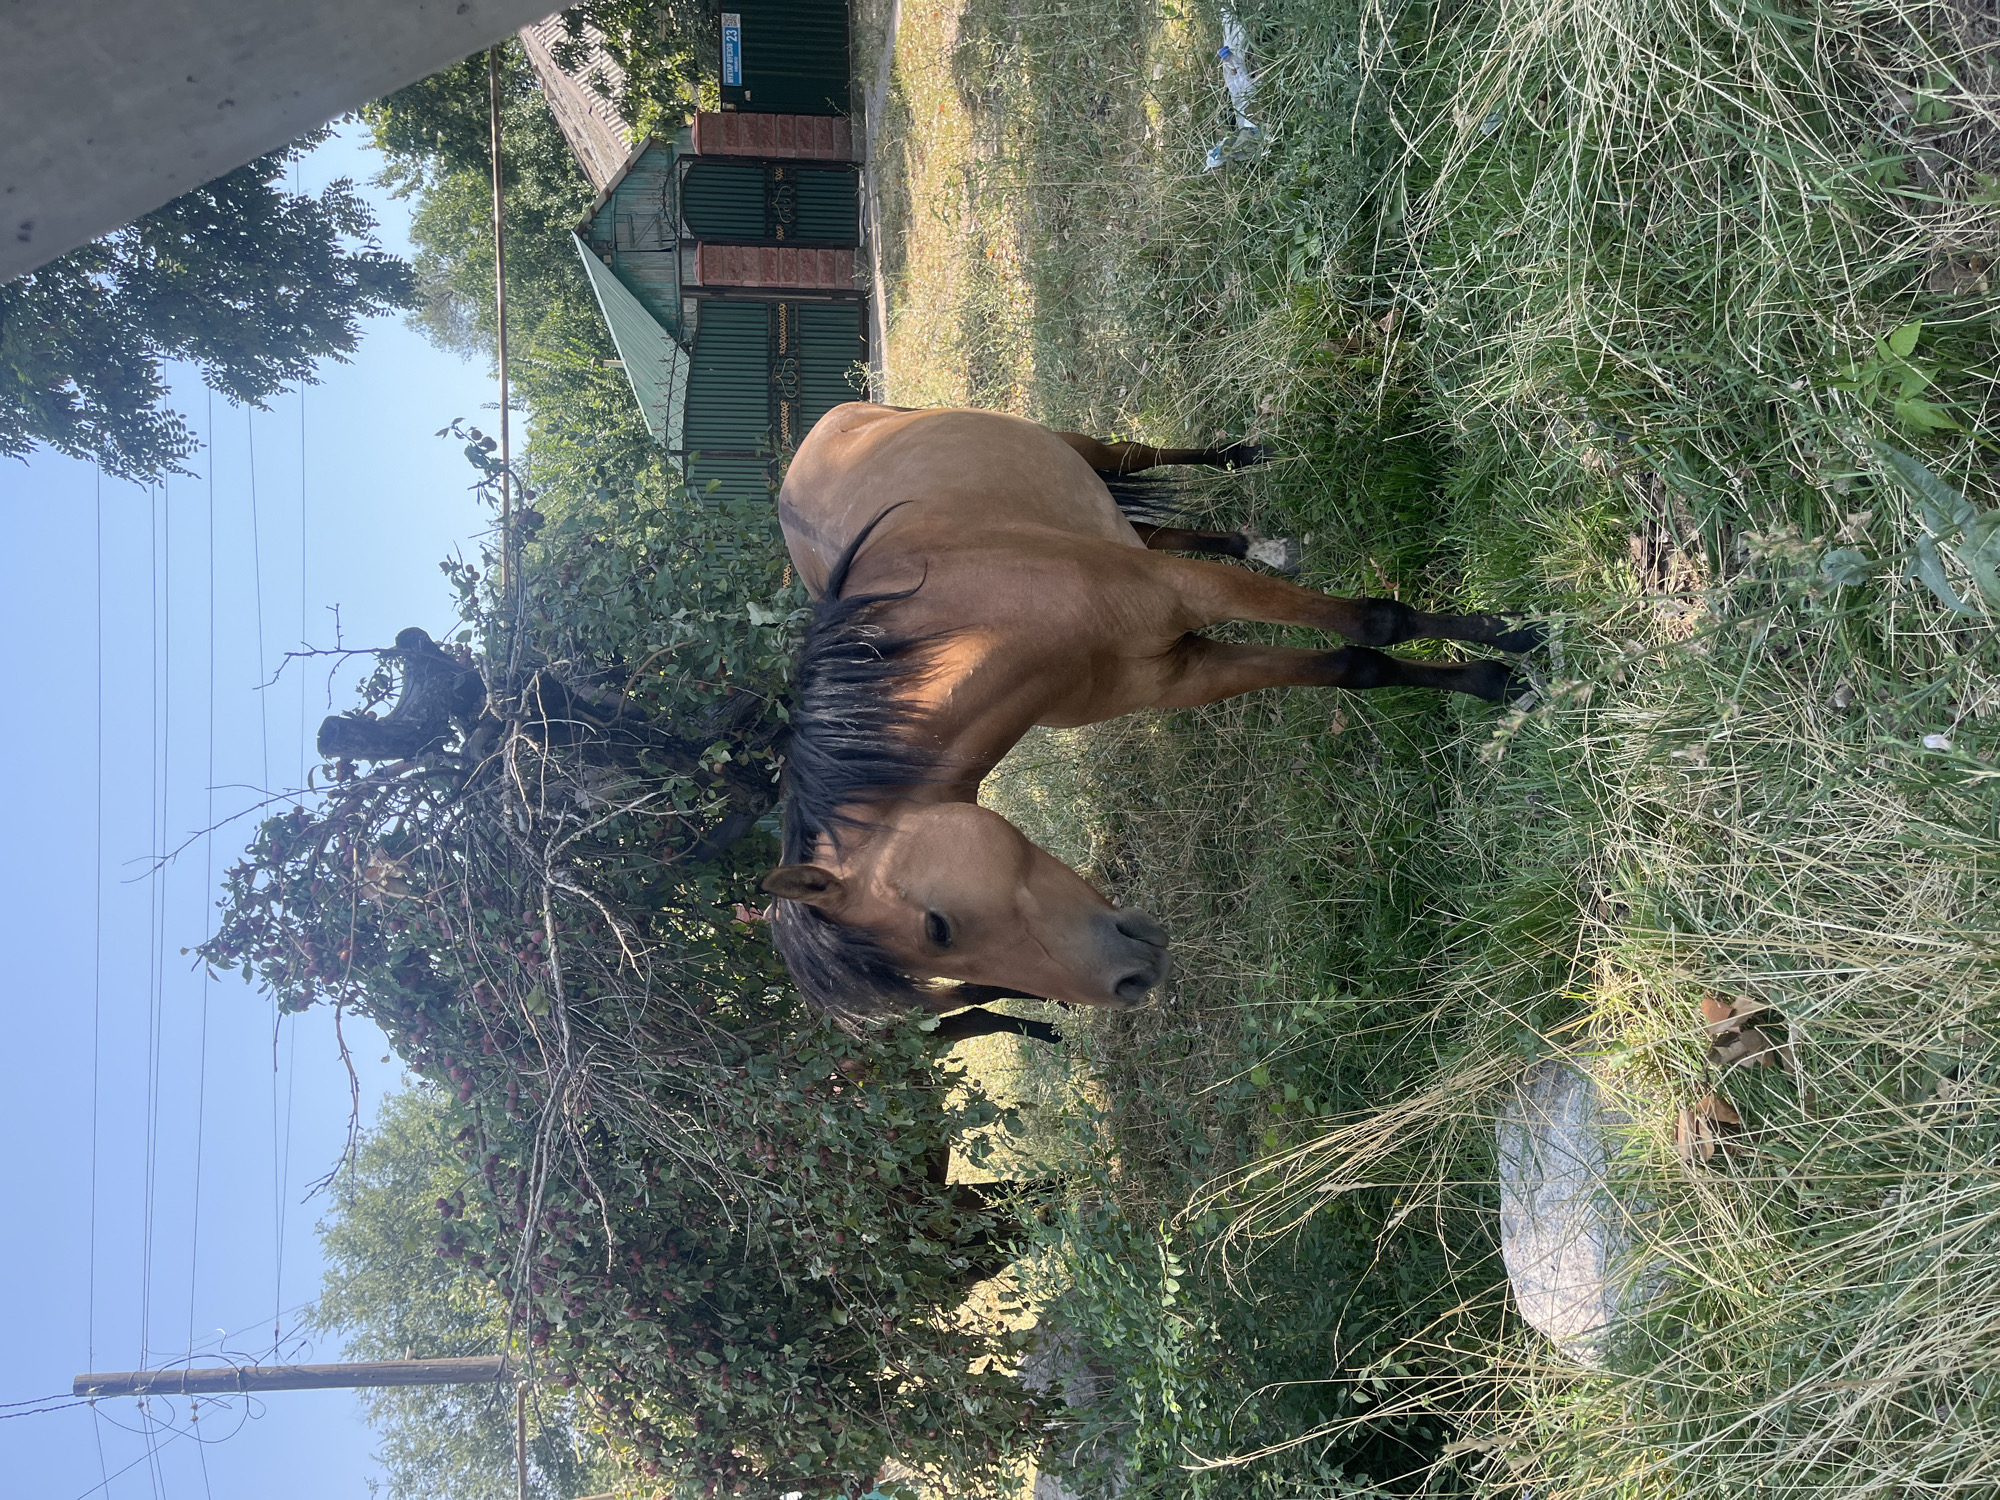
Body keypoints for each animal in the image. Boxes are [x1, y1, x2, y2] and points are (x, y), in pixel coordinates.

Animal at [761, 403, 1540, 1020]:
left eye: (938, 928)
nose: (1128, 984)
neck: (984, 621)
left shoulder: (1189, 593)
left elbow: (1376, 624)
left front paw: (1512, 639)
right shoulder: (1182, 672)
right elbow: (1358, 666)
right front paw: (1494, 681)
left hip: (1076, 447)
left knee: (1134, 458)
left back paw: (1245, 461)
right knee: (1153, 527)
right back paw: (1261, 542)